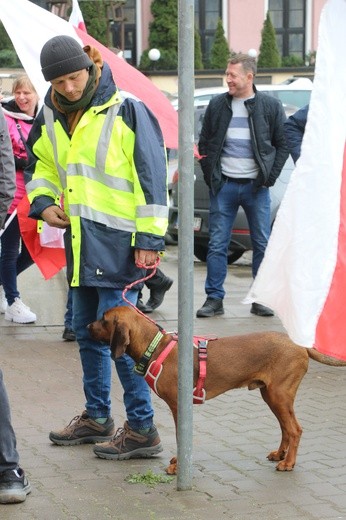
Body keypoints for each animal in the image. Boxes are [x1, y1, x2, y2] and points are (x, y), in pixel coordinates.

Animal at [88, 304, 346, 476]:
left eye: (103, 318)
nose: (87, 326)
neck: (155, 346)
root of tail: (300, 345)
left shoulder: (178, 406)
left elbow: (181, 438)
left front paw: (178, 466)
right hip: (271, 395)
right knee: (286, 428)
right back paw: (280, 454)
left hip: (279, 395)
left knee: (295, 429)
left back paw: (288, 463)